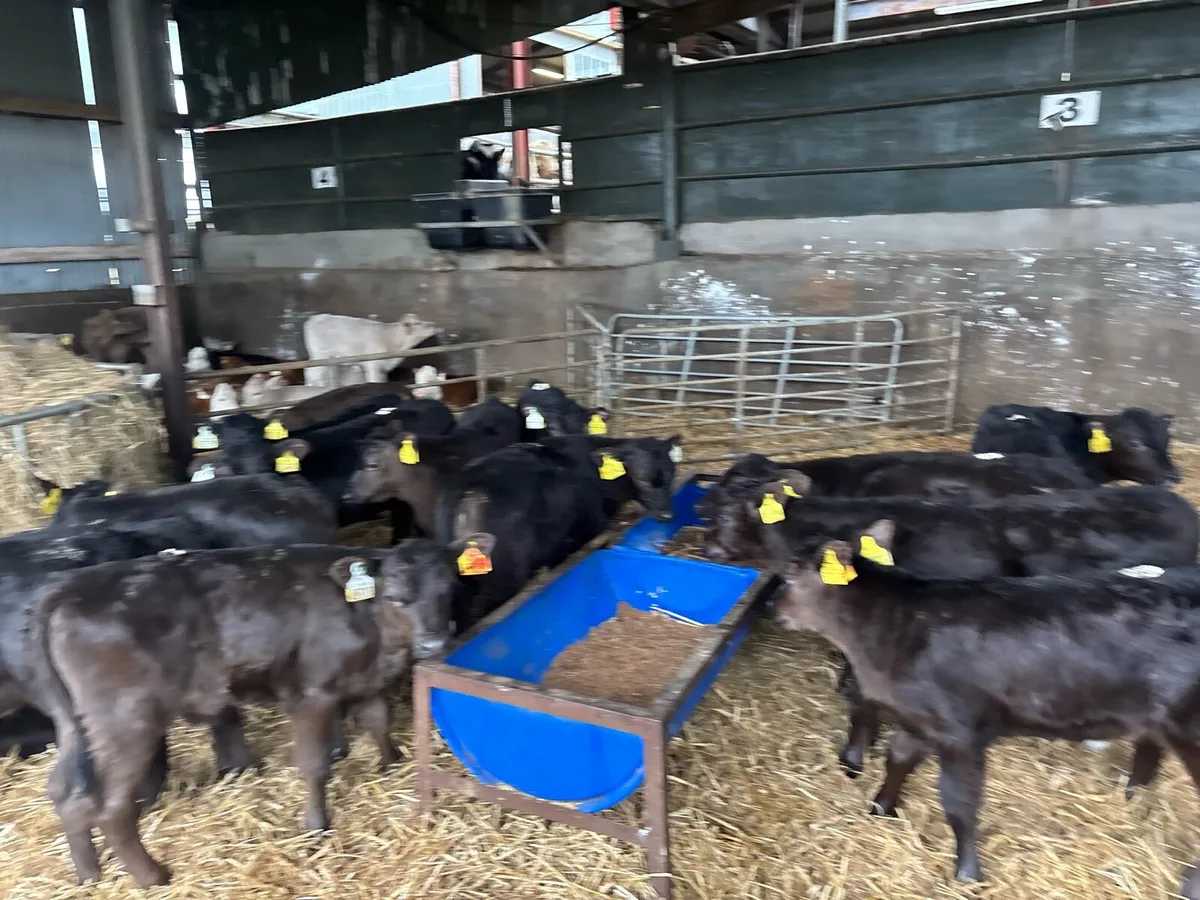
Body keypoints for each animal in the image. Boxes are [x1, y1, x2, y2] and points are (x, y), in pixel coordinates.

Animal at [34, 535, 489, 888]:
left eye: (448, 588)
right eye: (396, 596)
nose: (433, 644)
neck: (376, 637)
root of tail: (66, 592)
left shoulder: (364, 679)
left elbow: (378, 720)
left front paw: (390, 763)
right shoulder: (312, 693)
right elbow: (314, 764)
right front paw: (316, 826)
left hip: (76, 723)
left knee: (67, 793)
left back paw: (88, 875)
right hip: (127, 722)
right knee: (110, 808)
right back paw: (153, 877)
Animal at [302, 313, 441, 388]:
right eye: (418, 323)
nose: (435, 325)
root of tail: (315, 317)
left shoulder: (383, 368)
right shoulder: (373, 364)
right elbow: (374, 380)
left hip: (331, 360)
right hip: (319, 355)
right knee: (311, 372)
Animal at [770, 546, 1200, 899]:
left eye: (790, 573)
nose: (769, 607)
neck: (890, 627)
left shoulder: (959, 733)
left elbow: (959, 803)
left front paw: (967, 874)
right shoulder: (920, 719)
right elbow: (899, 758)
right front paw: (881, 808)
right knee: (1149, 748)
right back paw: (1134, 797)